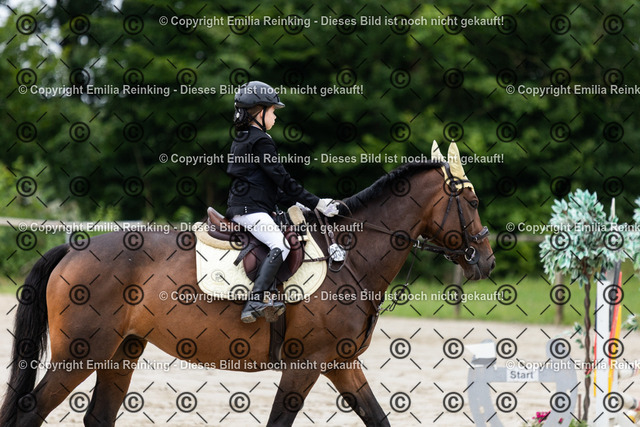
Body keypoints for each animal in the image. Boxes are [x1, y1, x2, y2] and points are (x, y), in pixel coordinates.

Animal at [1, 145, 495, 426]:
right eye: (471, 201)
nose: (487, 261)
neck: (349, 258)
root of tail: (74, 248)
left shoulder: (340, 363)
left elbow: (378, 419)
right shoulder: (306, 364)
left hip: (121, 352)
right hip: (80, 353)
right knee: (29, 410)